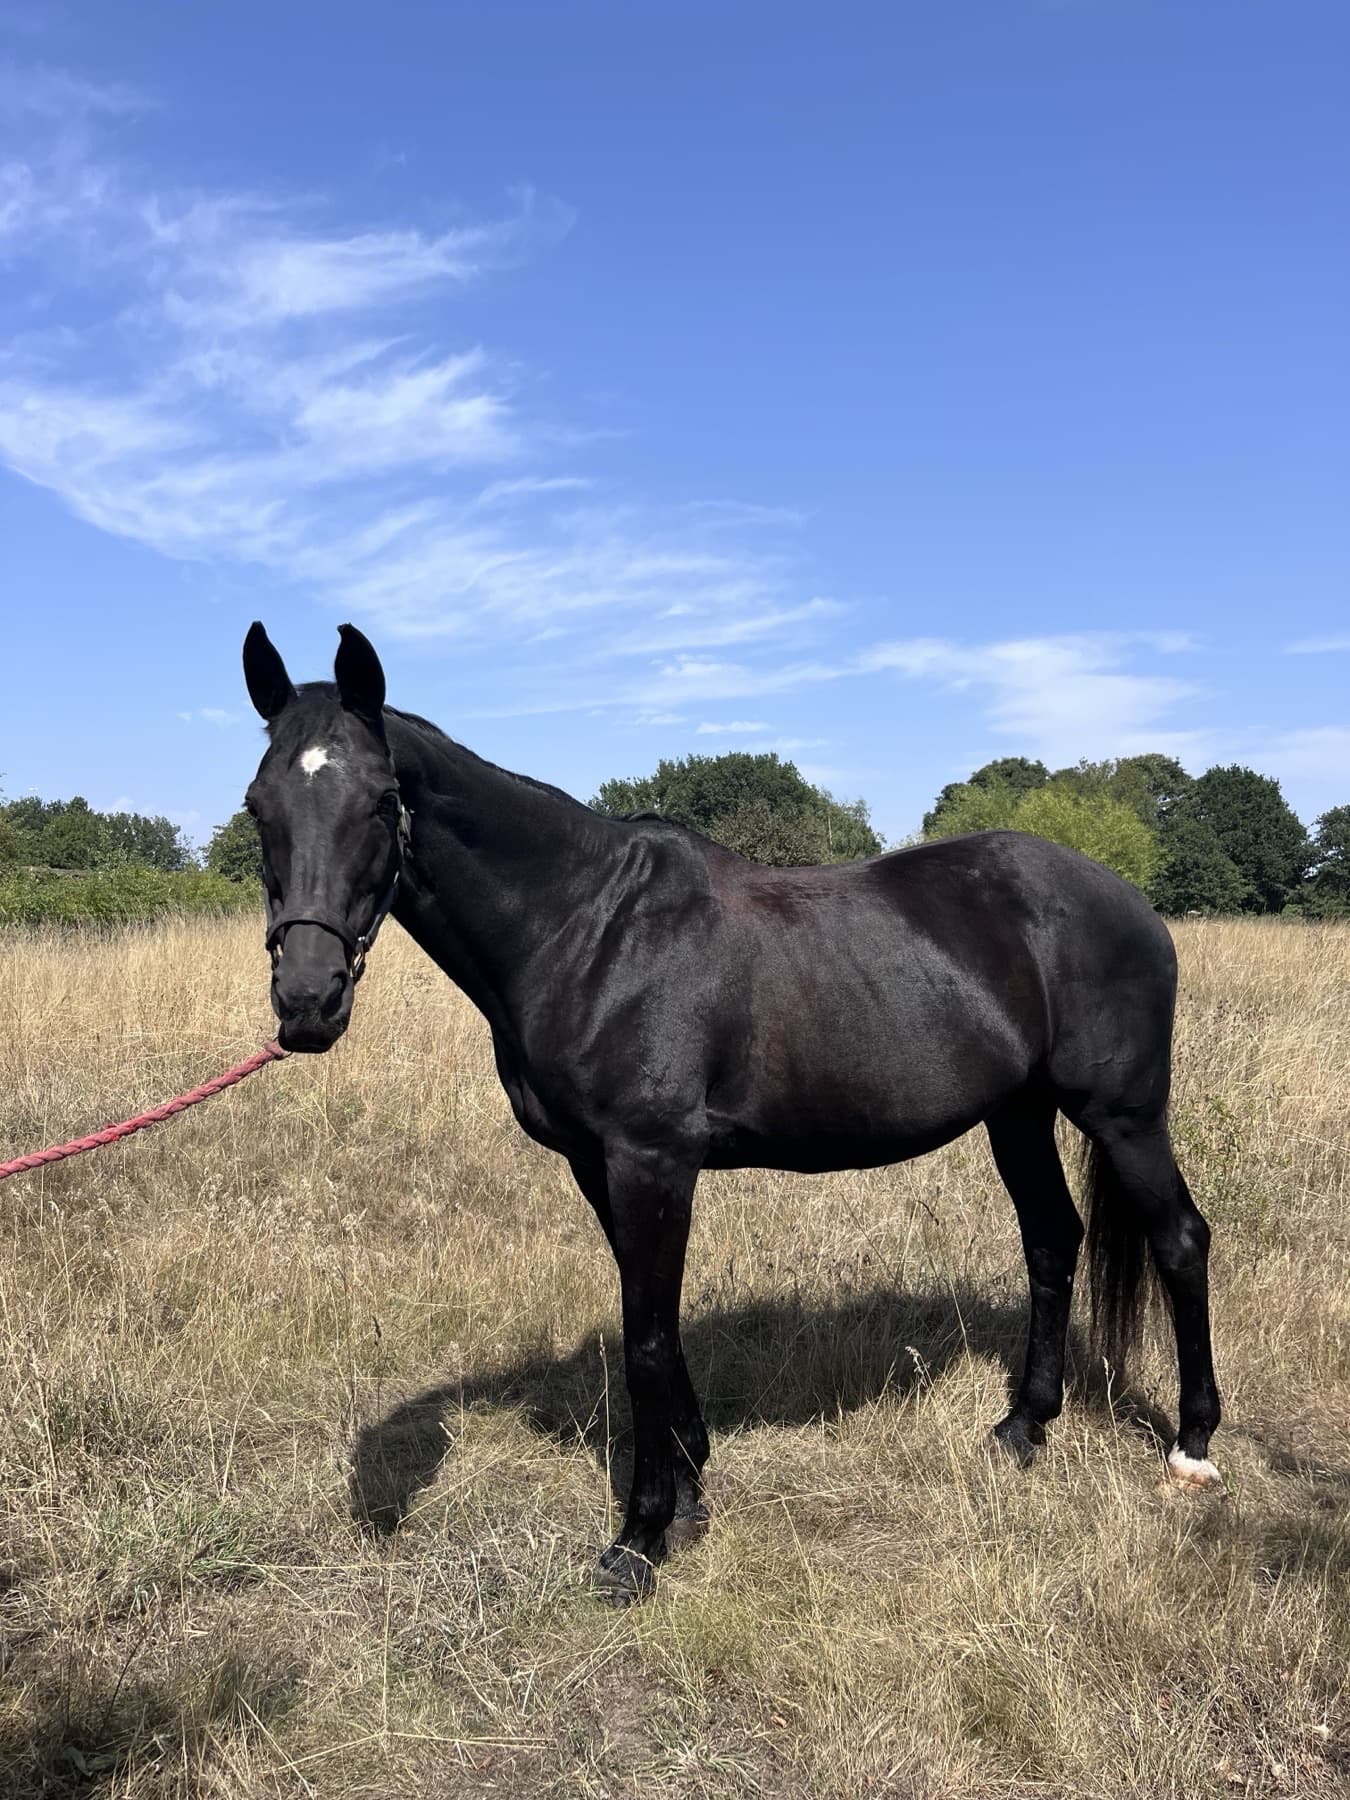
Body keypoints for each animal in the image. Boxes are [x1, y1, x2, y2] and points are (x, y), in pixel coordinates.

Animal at [241, 621, 1221, 1600]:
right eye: (258, 806)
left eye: (380, 801)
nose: (308, 1002)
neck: (584, 929)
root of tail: (1129, 900)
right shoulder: (601, 1168)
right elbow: (659, 1330)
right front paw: (690, 1489)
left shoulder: (651, 1161)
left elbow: (643, 1341)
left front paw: (638, 1539)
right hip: (1016, 1112)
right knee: (1053, 1240)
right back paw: (1023, 1428)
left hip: (1123, 1115)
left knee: (1179, 1240)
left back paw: (1191, 1446)